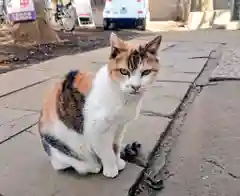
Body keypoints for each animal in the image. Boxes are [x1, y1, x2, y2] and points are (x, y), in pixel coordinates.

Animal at [39, 33, 161, 178]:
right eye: (124, 71)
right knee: (71, 163)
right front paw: (111, 169)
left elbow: (115, 147)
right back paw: (94, 166)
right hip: (63, 147)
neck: (123, 98)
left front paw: (118, 162)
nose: (135, 86)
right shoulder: (96, 130)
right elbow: (106, 152)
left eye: (146, 72)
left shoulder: (120, 127)